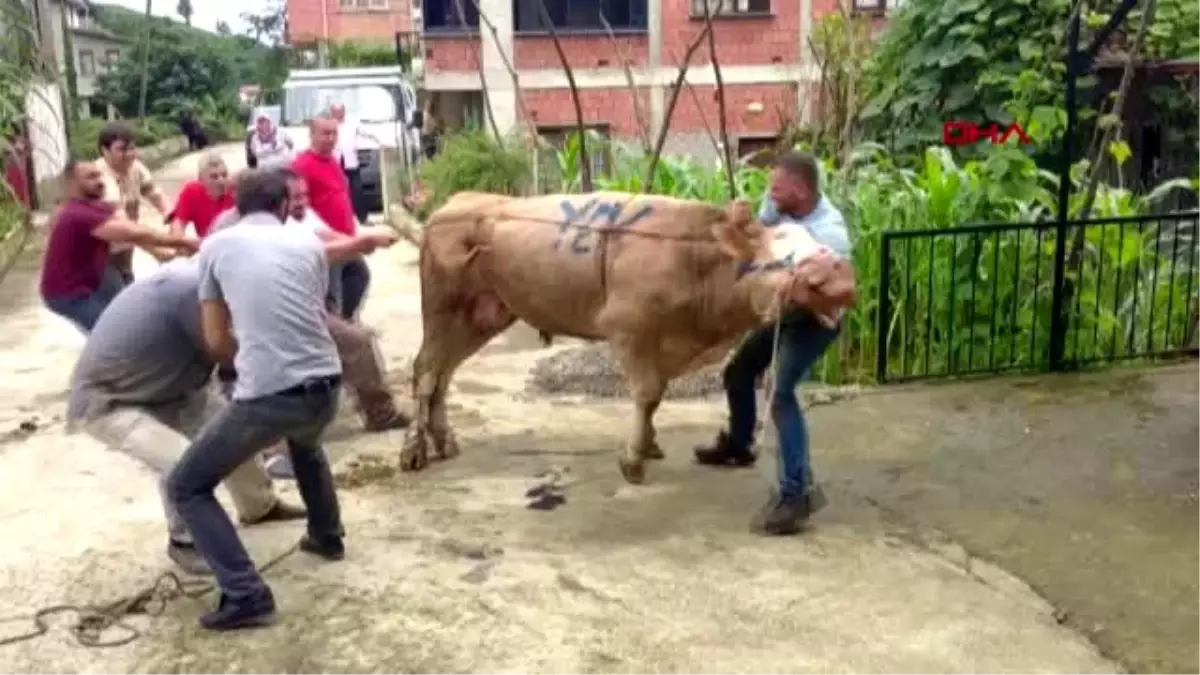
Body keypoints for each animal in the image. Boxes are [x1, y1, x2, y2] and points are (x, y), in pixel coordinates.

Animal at [403, 190, 854, 482]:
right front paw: (634, 459)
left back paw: (443, 440)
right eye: (787, 249)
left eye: (821, 241)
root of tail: (455, 204)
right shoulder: (627, 327)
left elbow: (656, 396)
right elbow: (649, 393)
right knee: (426, 369)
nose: (844, 276)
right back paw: (413, 450)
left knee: (443, 372)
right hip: (442, 307)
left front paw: (650, 444)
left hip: (484, 313)